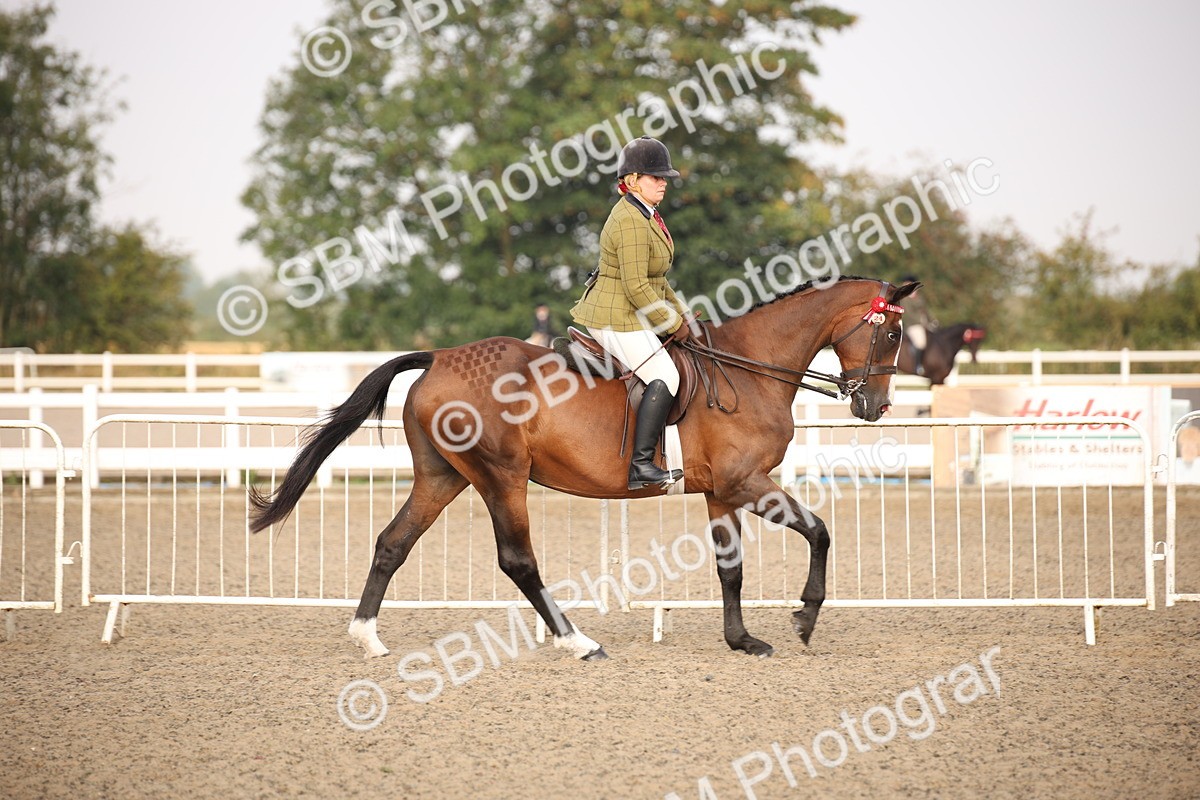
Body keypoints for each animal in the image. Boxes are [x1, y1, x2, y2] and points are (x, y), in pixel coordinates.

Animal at [249, 277, 919, 660]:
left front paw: (742, 641)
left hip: (443, 477)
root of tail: (437, 357)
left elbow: (731, 569)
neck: (749, 368)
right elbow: (819, 530)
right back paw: (578, 641)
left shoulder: (721, 492)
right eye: (891, 335)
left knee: (393, 543)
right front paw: (805, 617)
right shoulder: (745, 484)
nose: (875, 406)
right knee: (517, 560)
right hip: (501, 477)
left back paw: (367, 638)